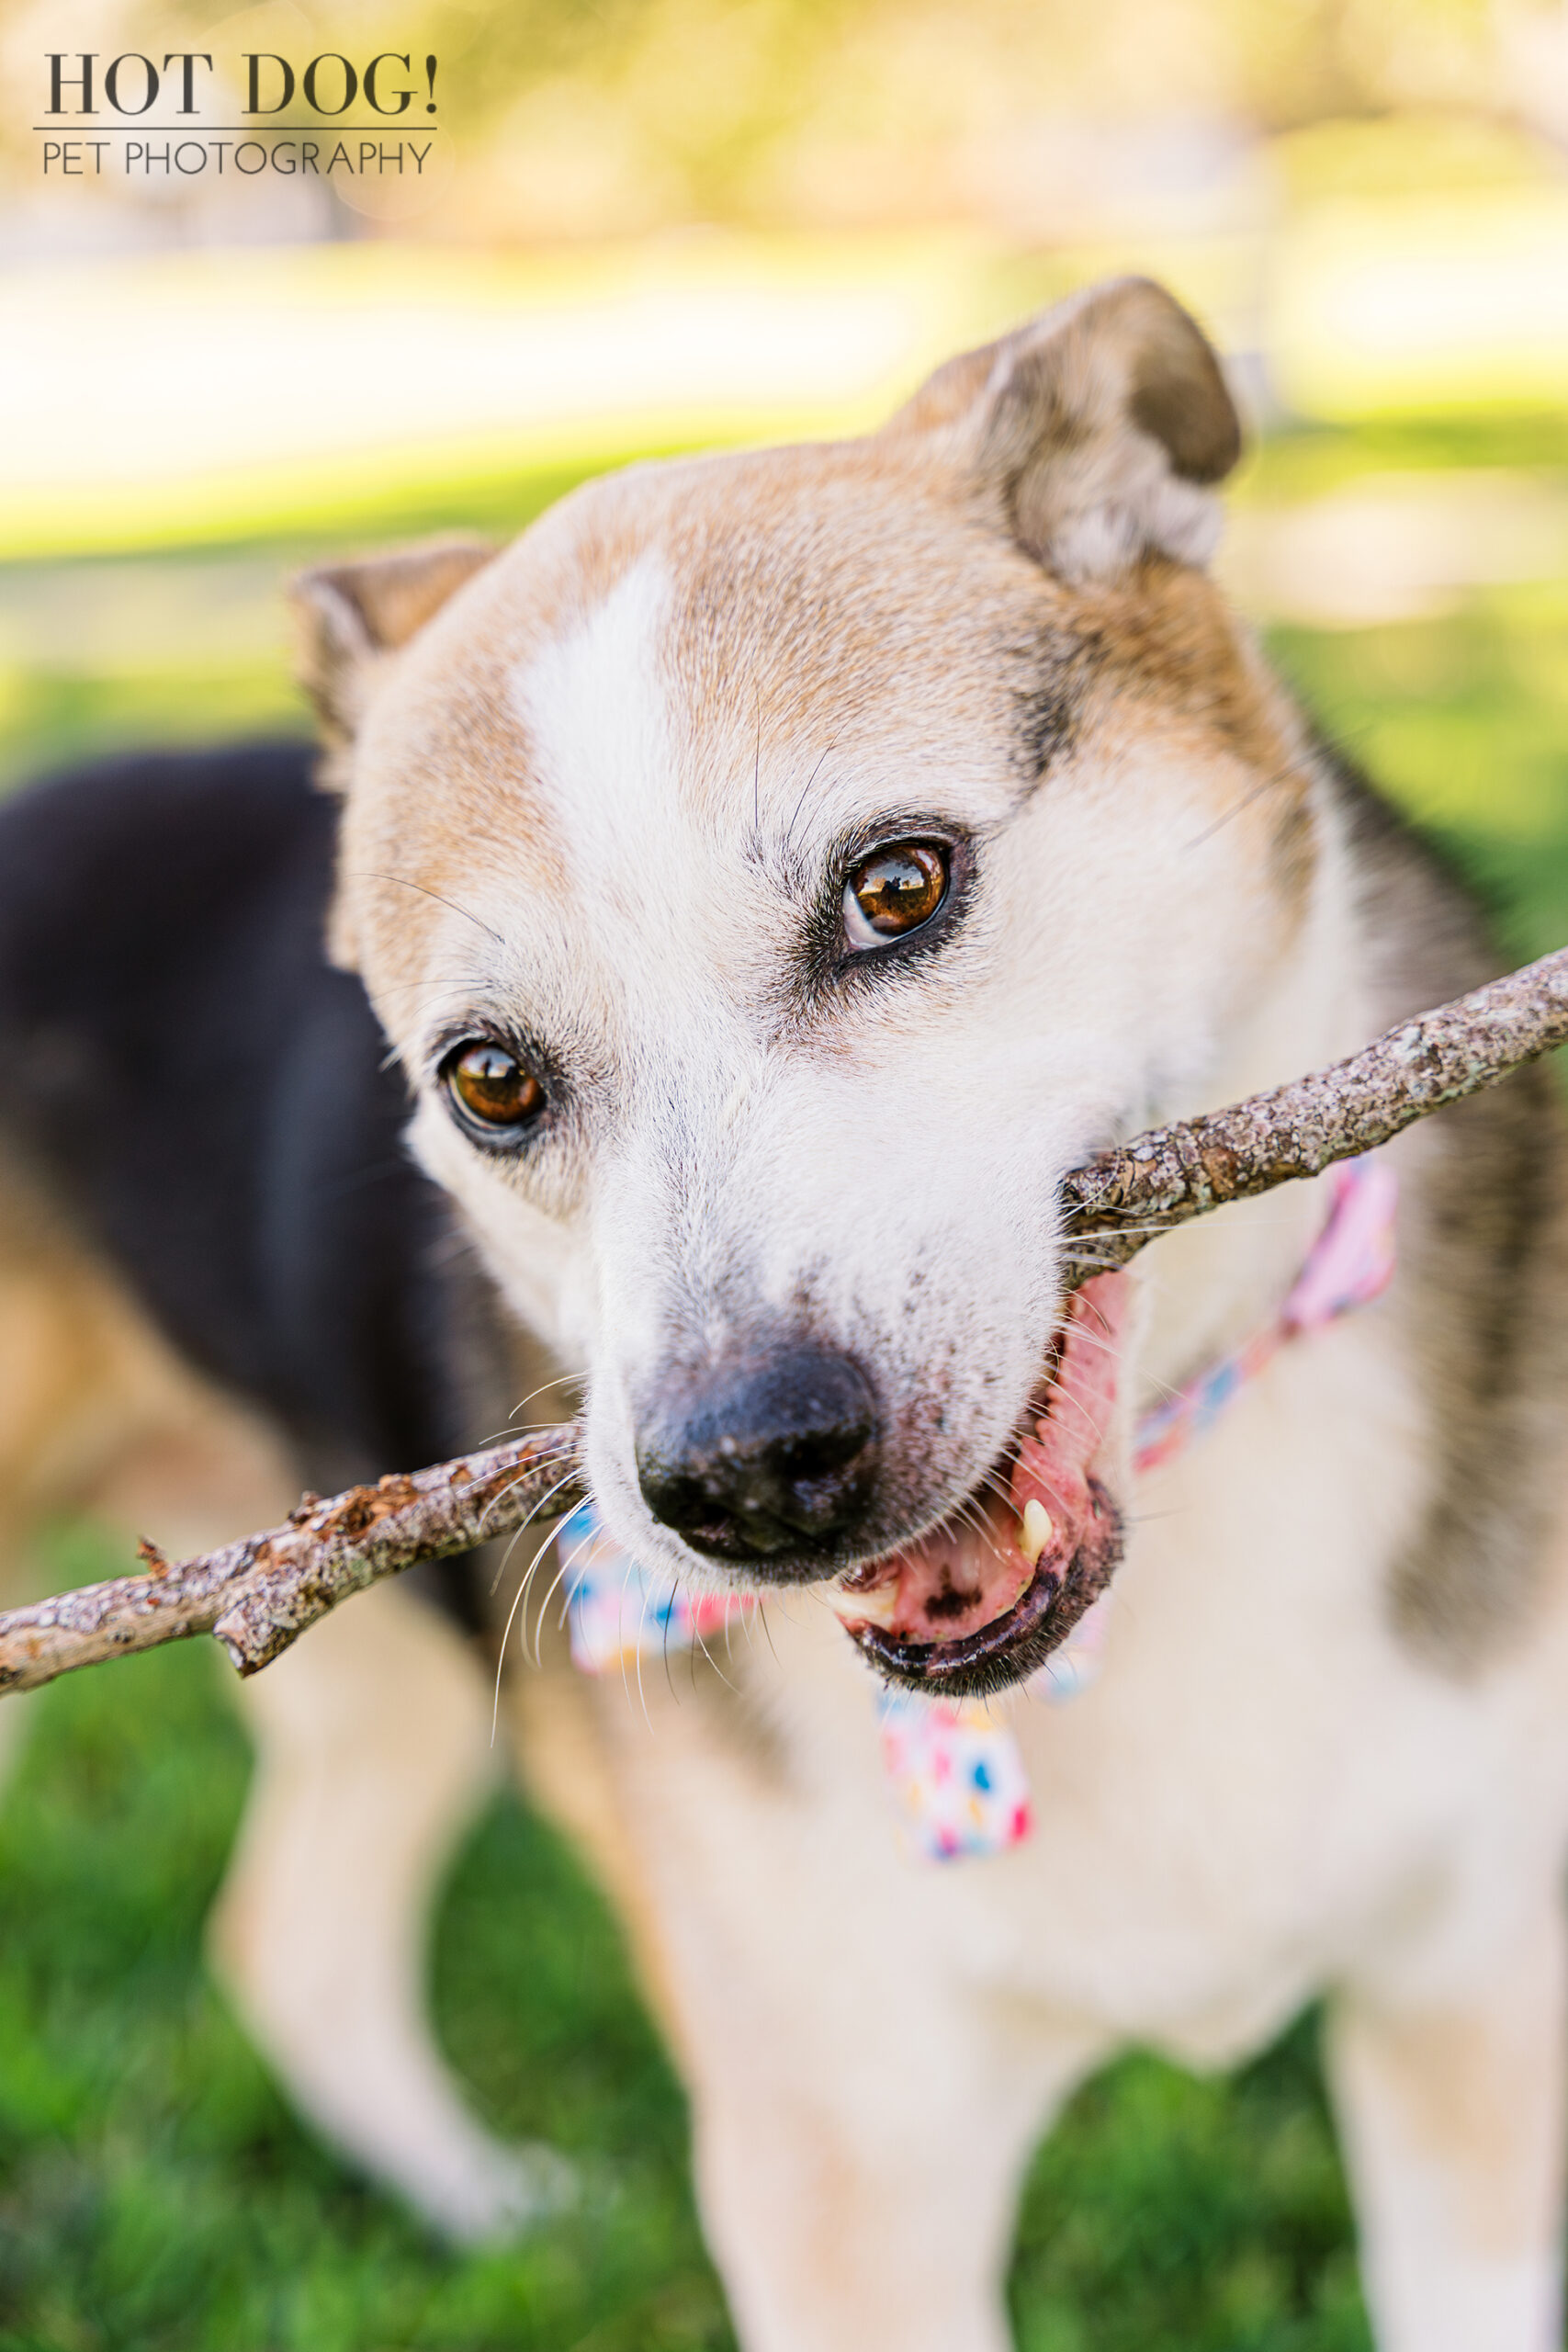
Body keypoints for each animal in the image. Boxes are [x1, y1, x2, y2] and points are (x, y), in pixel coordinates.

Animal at [3, 279, 1568, 2352]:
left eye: (896, 884)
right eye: (489, 1078)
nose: (743, 1473)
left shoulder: (1470, 2000)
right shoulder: (841, 2175)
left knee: (293, 1940)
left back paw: (490, 2209)